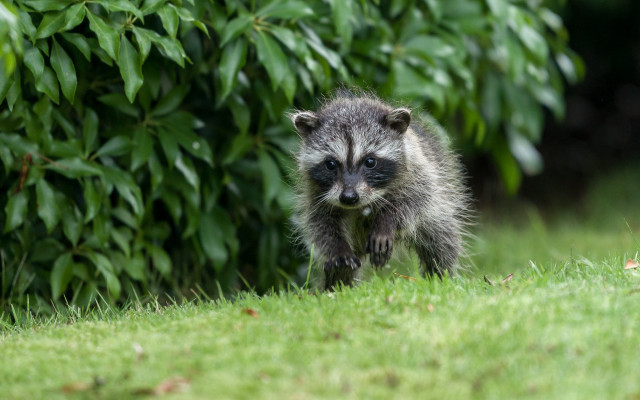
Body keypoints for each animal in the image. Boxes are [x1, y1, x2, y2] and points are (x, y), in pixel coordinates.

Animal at [290, 91, 470, 290]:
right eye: (330, 164)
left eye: (370, 161)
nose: (348, 197)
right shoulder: (315, 191)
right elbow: (321, 222)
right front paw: (338, 249)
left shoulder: (418, 169)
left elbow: (413, 199)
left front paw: (386, 221)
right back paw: (337, 285)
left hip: (439, 206)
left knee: (441, 242)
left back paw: (440, 276)